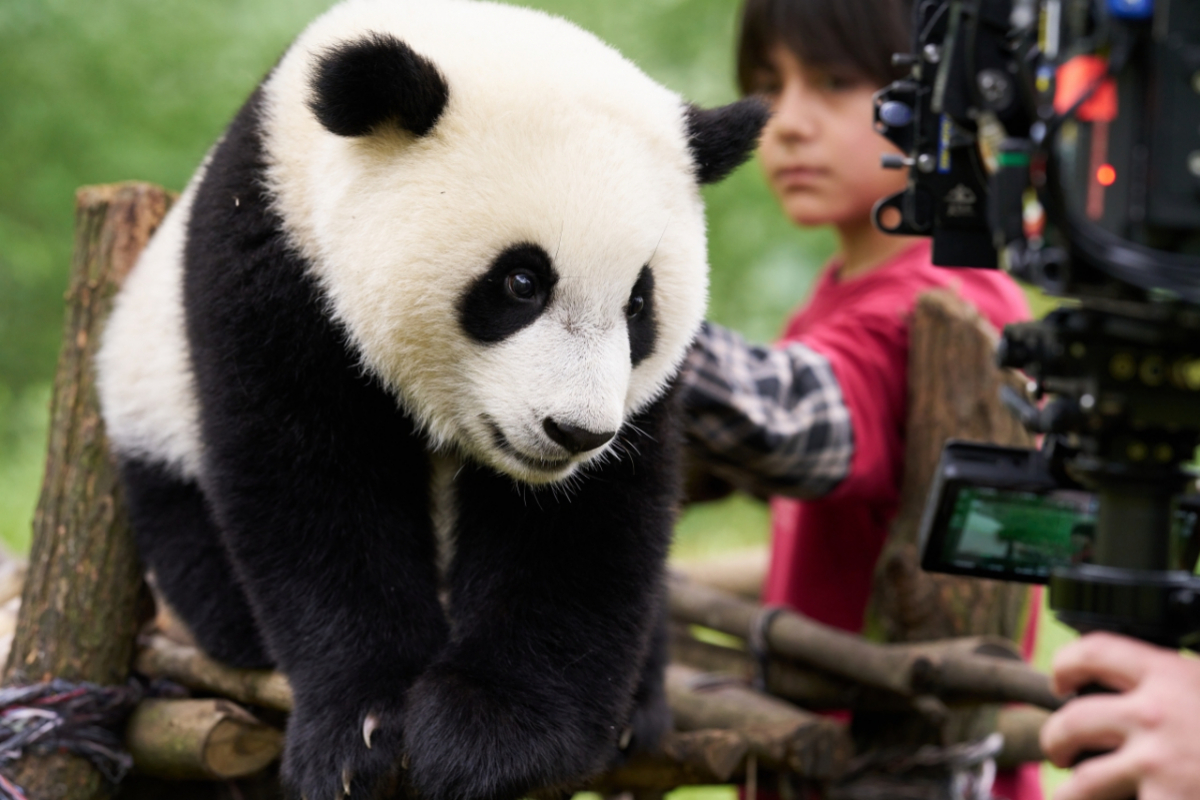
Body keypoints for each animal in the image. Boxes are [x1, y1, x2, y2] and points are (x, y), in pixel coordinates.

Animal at [96, 1, 768, 800]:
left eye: (640, 304)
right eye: (520, 282)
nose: (574, 432)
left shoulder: (640, 400)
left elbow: (581, 527)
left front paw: (490, 734)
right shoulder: (277, 265)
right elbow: (315, 486)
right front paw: (364, 729)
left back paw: (638, 705)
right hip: (148, 401)